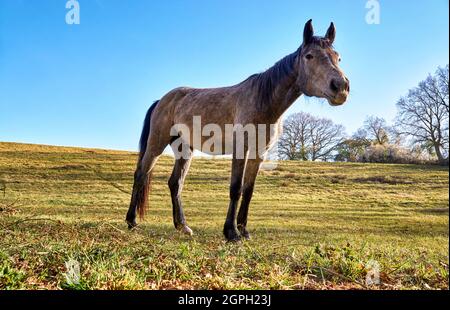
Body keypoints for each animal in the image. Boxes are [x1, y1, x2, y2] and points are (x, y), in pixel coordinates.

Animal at [125, 20, 350, 241]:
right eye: (309, 56)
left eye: (338, 57)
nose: (341, 87)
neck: (262, 100)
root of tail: (162, 100)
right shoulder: (241, 150)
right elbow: (236, 188)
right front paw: (231, 232)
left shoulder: (259, 153)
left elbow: (248, 190)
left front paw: (244, 230)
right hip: (156, 143)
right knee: (141, 175)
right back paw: (132, 222)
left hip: (184, 150)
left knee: (175, 183)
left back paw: (182, 226)